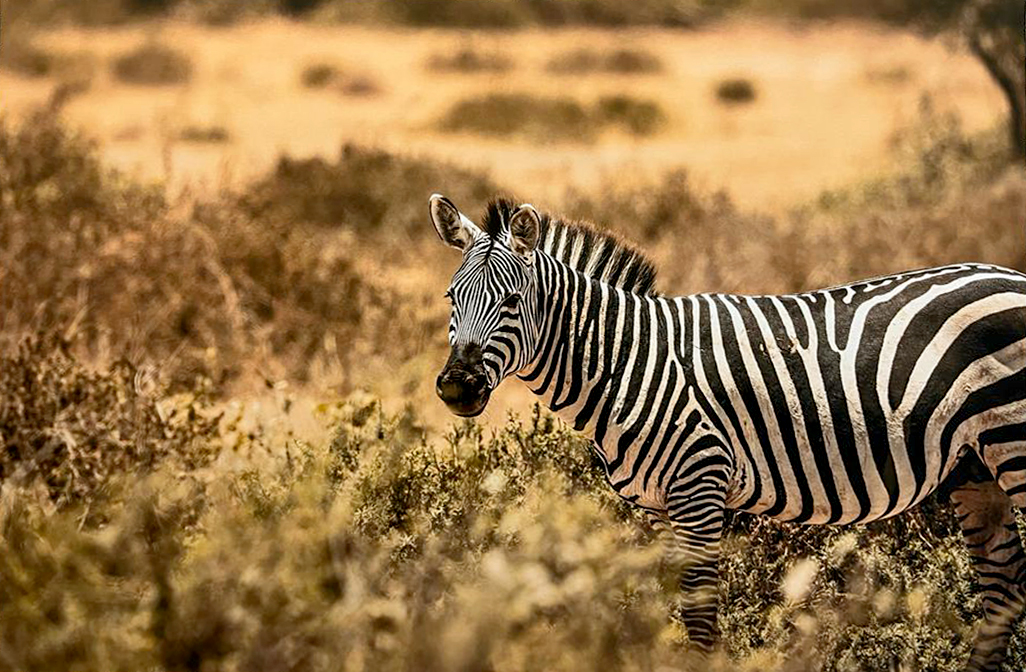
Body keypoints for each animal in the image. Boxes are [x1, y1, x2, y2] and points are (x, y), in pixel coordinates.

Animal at [428, 192, 1026, 668]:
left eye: (511, 301)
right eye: (451, 298)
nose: (456, 388)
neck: (625, 362)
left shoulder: (699, 485)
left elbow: (700, 621)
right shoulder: (660, 508)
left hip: (1013, 443)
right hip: (973, 467)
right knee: (1003, 591)